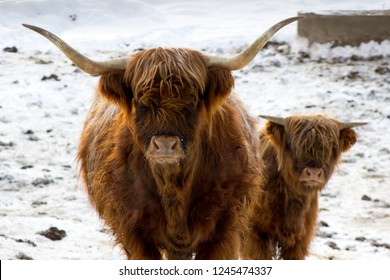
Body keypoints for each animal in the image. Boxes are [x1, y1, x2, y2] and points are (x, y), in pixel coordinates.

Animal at [22, 17, 302, 260]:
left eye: (193, 99)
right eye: (140, 100)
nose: (165, 145)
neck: (174, 185)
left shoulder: (224, 228)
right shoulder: (132, 230)